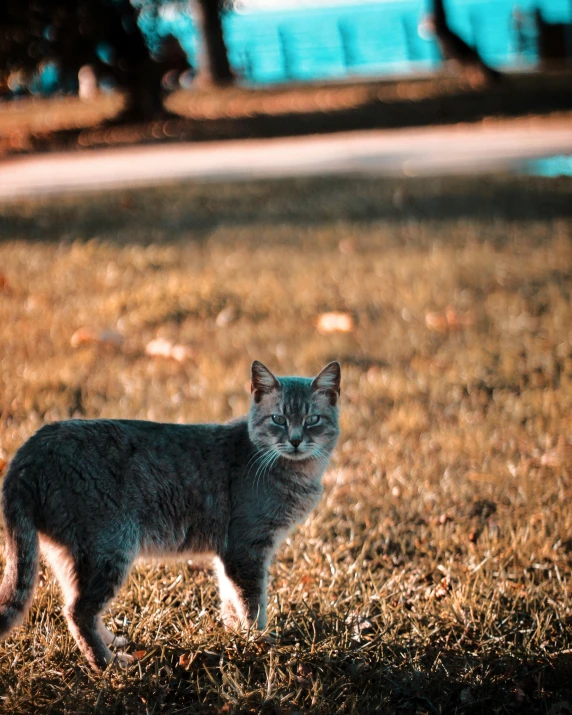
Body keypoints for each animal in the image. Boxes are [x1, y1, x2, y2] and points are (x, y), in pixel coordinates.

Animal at [0, 360, 340, 676]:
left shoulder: (229, 553)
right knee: (78, 611)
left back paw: (110, 643)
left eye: (312, 420)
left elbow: (230, 598)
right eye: (278, 419)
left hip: (71, 554)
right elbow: (252, 604)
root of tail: (28, 451)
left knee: (73, 604)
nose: (295, 439)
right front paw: (260, 644)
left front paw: (235, 635)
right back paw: (108, 664)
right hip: (109, 548)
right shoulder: (247, 549)